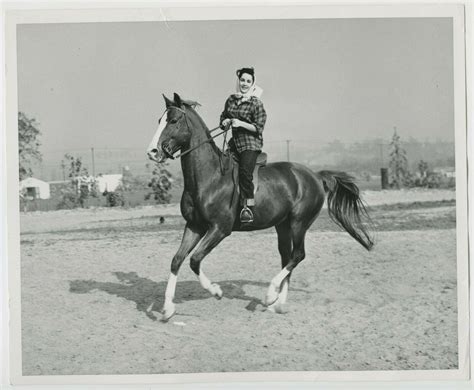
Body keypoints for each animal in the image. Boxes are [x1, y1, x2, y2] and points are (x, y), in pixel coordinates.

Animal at [146, 93, 372, 322]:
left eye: (173, 121)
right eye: (159, 120)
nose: (152, 152)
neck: (210, 178)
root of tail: (316, 176)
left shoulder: (219, 229)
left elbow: (195, 260)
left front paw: (216, 291)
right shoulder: (194, 226)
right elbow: (177, 260)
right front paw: (167, 309)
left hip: (299, 223)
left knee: (298, 255)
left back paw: (270, 295)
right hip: (283, 226)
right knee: (287, 257)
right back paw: (278, 304)